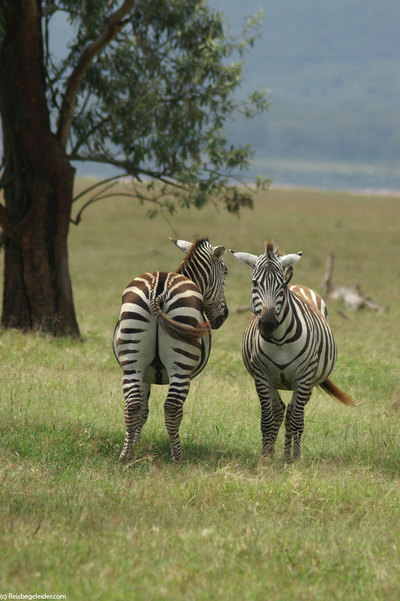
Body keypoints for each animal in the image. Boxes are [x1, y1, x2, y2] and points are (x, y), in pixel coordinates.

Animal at [114, 237, 230, 462]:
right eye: (226, 271)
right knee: (172, 407)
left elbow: (143, 410)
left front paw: (135, 445)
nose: (225, 316)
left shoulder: (144, 374)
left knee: (132, 406)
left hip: (132, 361)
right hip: (181, 366)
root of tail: (159, 289)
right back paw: (178, 458)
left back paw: (125, 456)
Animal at [230, 241, 354, 458]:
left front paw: (292, 459)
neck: (280, 341)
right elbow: (267, 419)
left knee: (294, 414)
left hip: (308, 382)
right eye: (254, 284)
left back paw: (290, 454)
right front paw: (265, 456)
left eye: (281, 286)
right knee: (280, 409)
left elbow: (296, 420)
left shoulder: (303, 379)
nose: (268, 324)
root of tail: (298, 285)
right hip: (272, 381)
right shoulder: (261, 377)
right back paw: (274, 451)